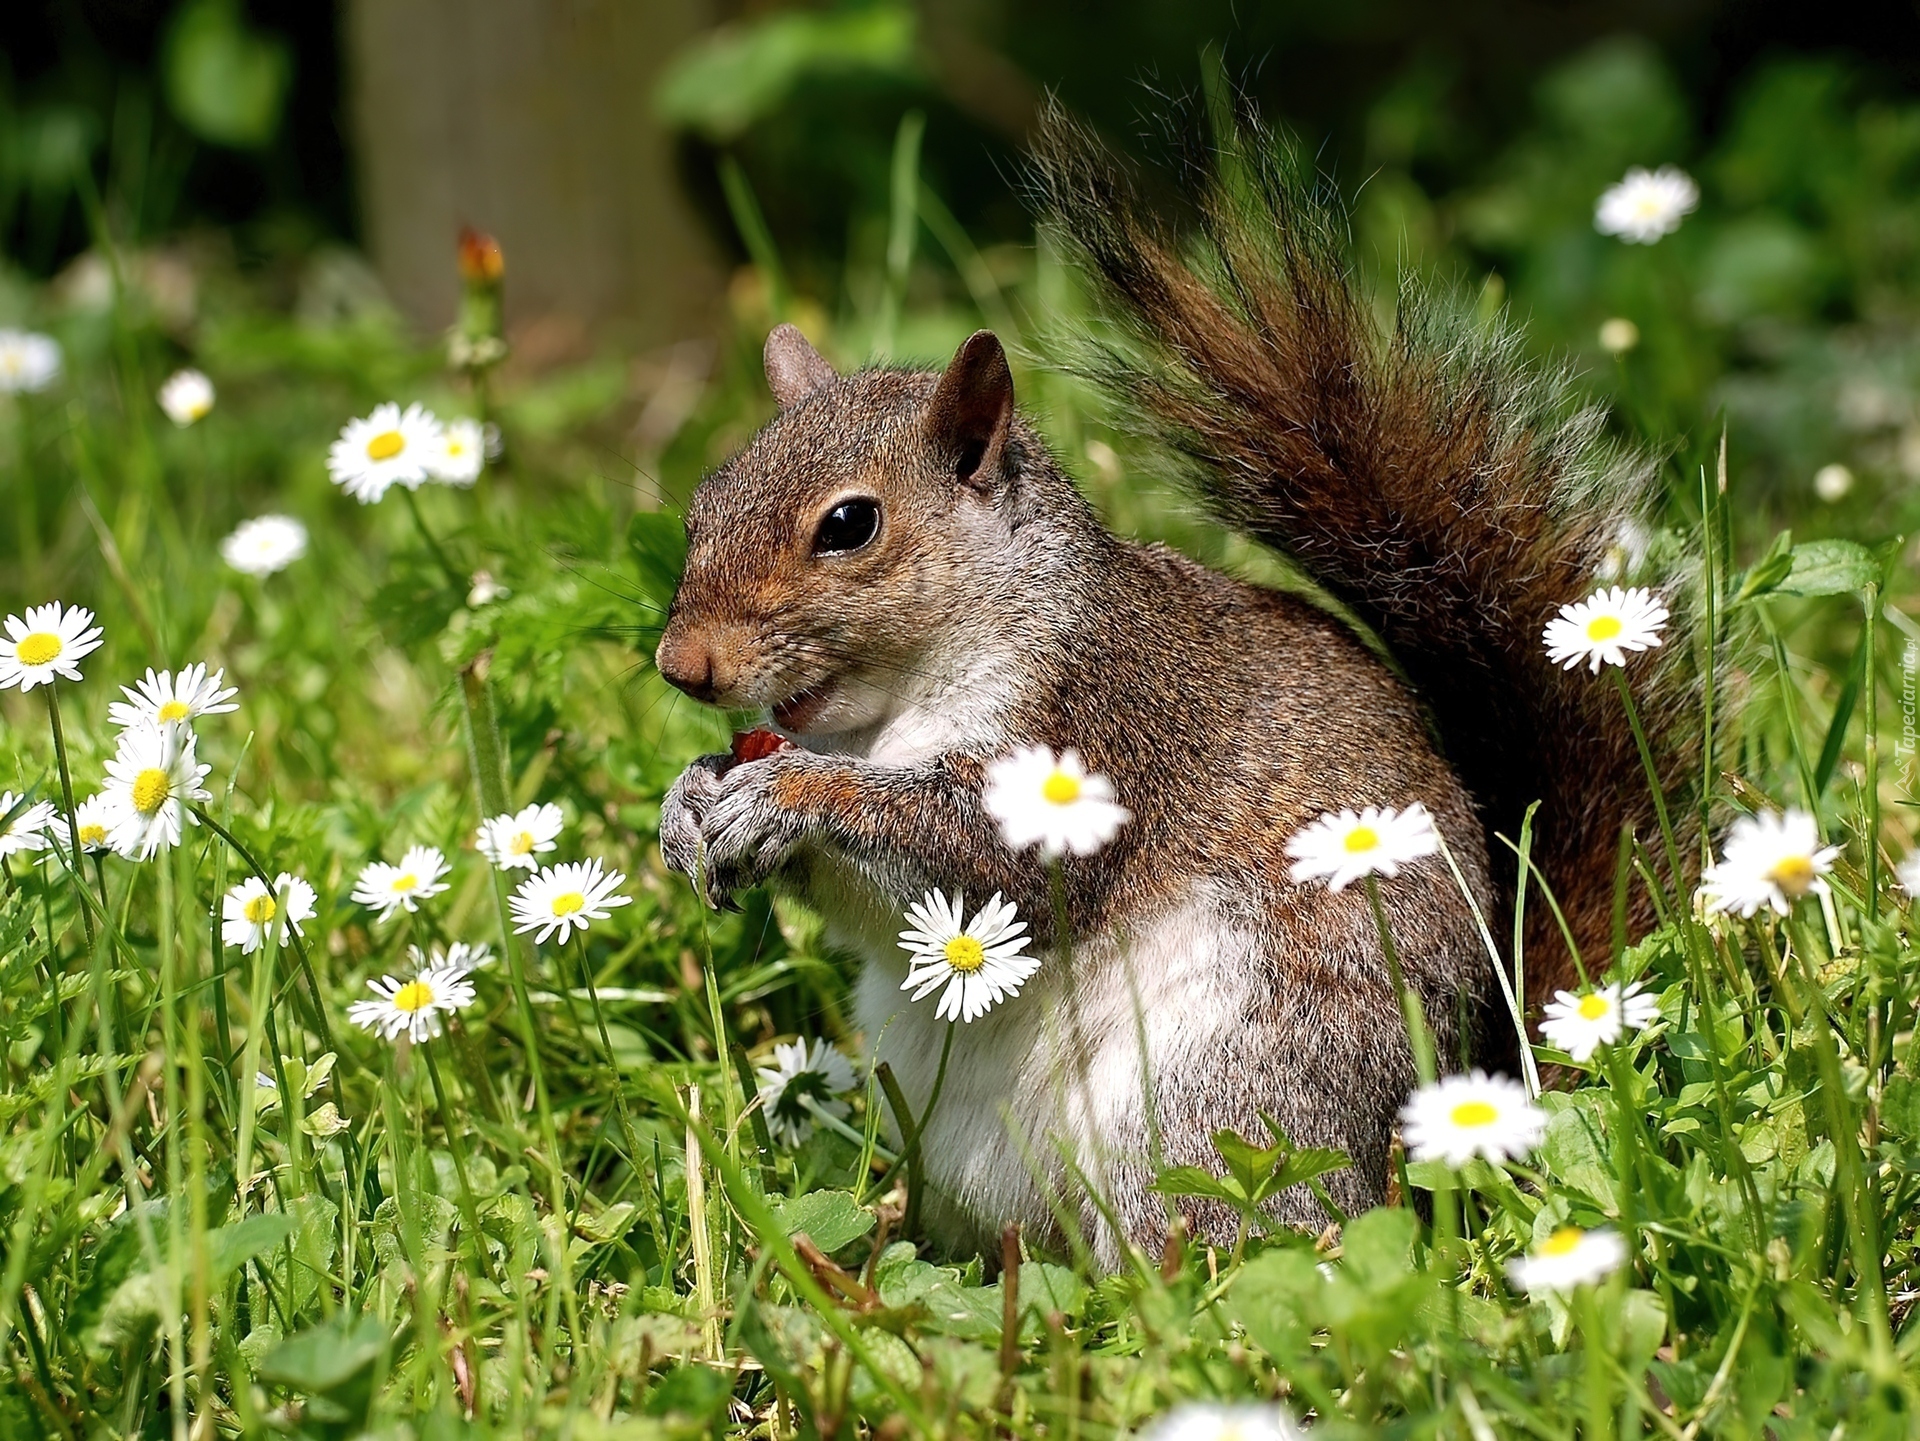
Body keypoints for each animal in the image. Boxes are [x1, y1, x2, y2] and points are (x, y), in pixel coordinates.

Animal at [656, 109, 1697, 1258]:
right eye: (706, 499)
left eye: (849, 524)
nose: (682, 666)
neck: (887, 711)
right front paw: (689, 799)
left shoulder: (1104, 723)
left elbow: (985, 862)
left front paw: (791, 793)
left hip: (1226, 1093)